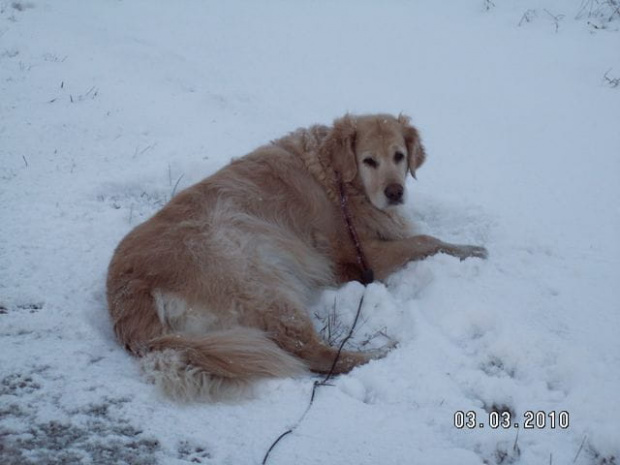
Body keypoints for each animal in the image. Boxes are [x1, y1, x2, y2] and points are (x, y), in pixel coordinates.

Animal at [106, 114, 486, 400]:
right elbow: (425, 239)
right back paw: (381, 352)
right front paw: (472, 251)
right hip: (260, 279)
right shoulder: (365, 258)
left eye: (399, 156)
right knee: (315, 353)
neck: (336, 176)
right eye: (369, 161)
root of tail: (126, 291)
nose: (395, 192)